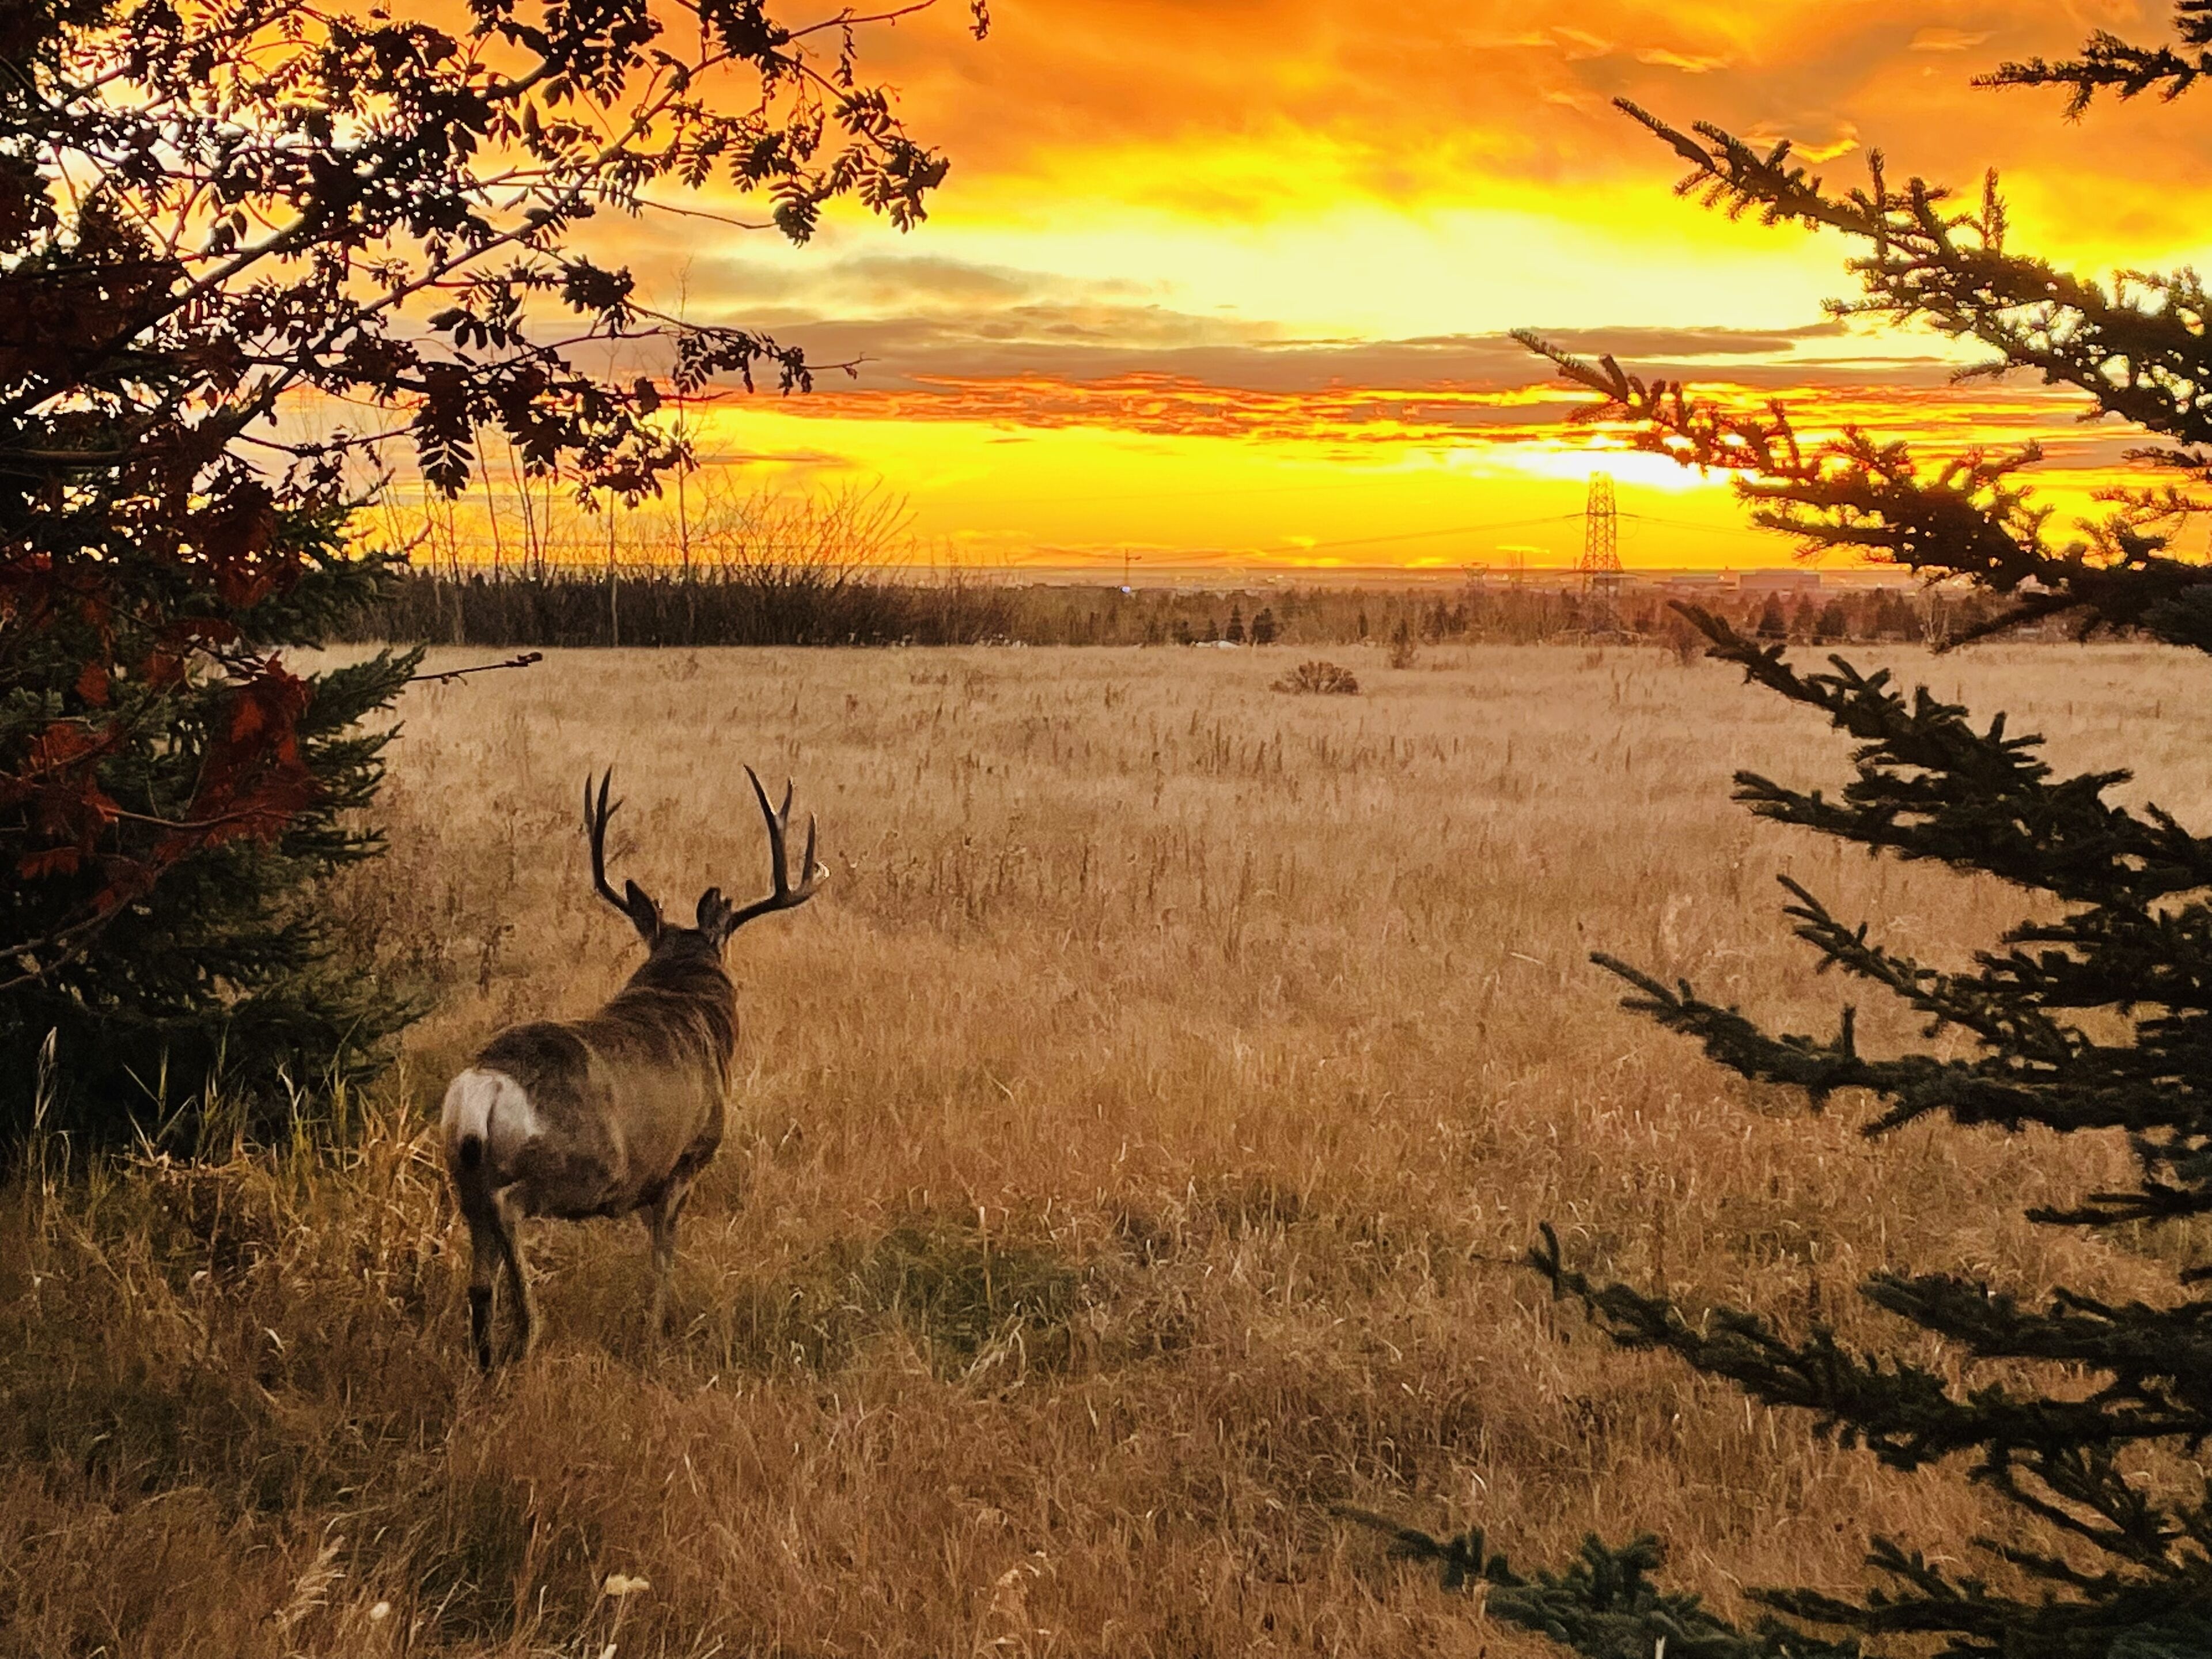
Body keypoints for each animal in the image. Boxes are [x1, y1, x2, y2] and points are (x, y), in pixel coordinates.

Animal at [440, 766, 822, 1370]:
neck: (686, 998)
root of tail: (484, 1088)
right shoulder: (684, 1161)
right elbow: (663, 1257)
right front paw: (657, 1332)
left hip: (462, 1174)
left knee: (480, 1283)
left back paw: (488, 1364)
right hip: (571, 1166)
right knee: (511, 1213)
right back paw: (528, 1333)